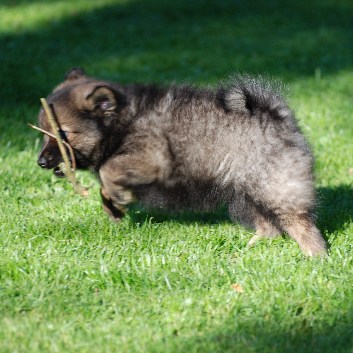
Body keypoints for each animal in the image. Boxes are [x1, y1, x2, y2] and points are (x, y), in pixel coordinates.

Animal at [37, 68, 326, 256]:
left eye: (62, 133)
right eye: (43, 132)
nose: (41, 161)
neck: (122, 123)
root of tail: (278, 116)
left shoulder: (151, 157)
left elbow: (110, 170)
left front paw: (119, 197)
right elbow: (106, 185)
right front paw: (114, 207)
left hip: (273, 187)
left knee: (299, 223)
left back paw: (316, 256)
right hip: (244, 192)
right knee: (269, 226)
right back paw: (252, 247)